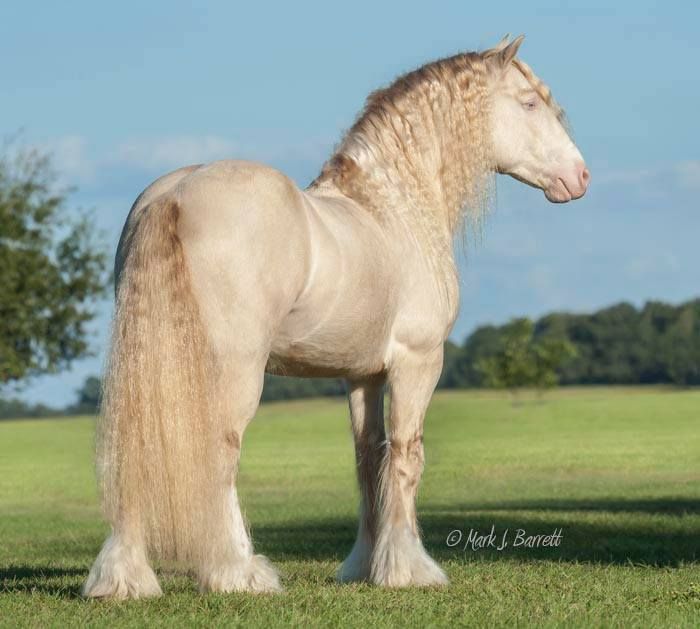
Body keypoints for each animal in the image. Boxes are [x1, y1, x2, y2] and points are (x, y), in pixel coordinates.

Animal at [86, 35, 592, 600]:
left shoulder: (362, 375)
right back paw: (238, 573)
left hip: (151, 361)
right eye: (529, 103)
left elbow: (368, 459)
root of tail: (173, 195)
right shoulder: (418, 362)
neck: (392, 210)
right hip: (232, 371)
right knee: (220, 453)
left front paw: (363, 565)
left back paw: (124, 578)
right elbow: (406, 456)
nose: (579, 177)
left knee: (137, 449)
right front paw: (409, 569)